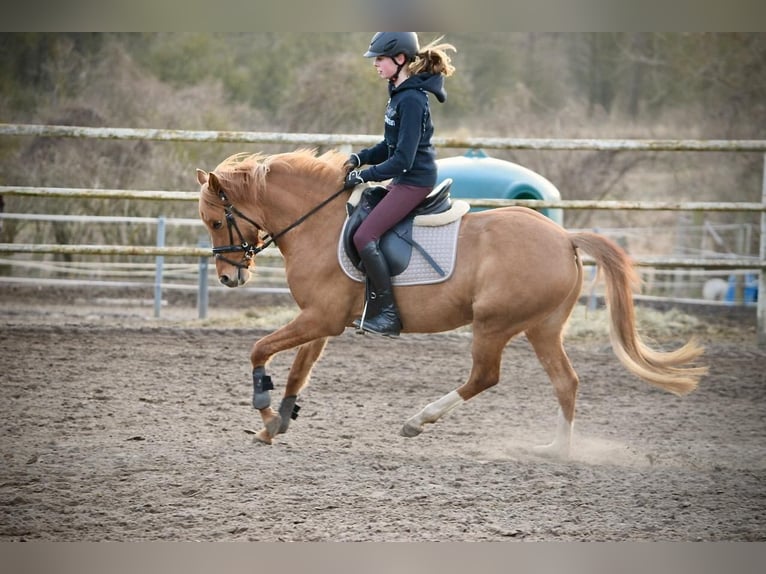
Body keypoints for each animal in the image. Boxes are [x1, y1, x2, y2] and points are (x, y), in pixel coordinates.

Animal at [195, 148, 707, 458]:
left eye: (215, 222)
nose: (228, 277)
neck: (317, 221)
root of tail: (564, 237)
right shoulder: (322, 321)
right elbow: (299, 370)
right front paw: (276, 423)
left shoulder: (320, 317)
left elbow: (260, 349)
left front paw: (263, 407)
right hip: (541, 327)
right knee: (566, 382)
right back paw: (555, 451)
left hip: (494, 324)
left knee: (485, 376)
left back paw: (417, 421)